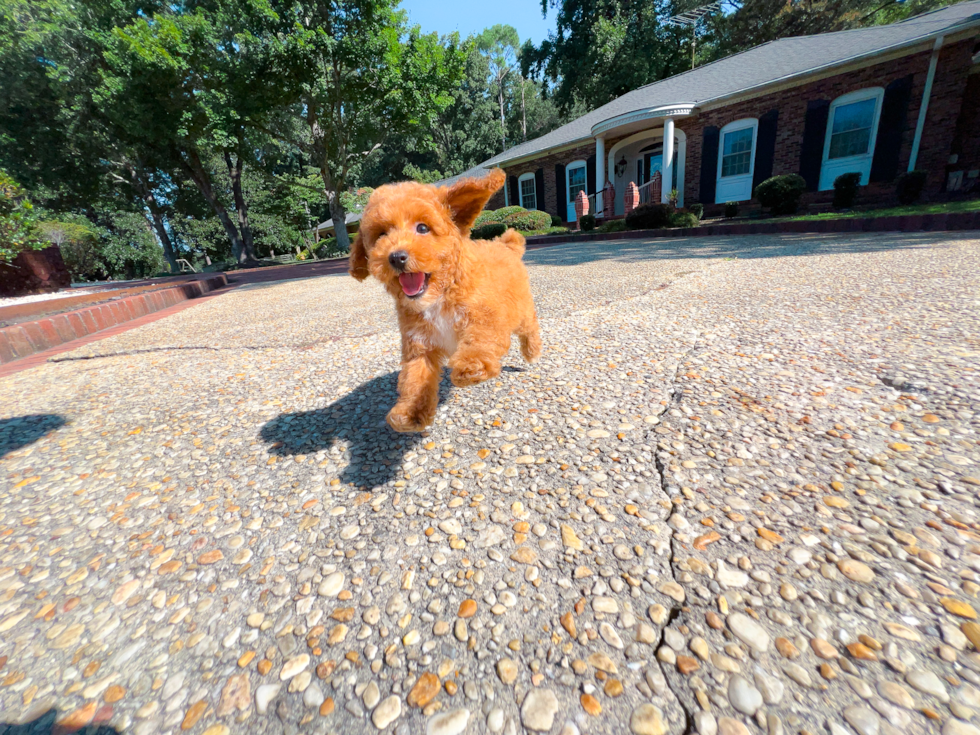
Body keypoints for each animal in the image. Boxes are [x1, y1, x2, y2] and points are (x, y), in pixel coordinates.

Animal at [348, 168, 540, 432]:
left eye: (422, 228)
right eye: (381, 234)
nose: (396, 257)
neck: (438, 296)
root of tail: (506, 245)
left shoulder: (485, 315)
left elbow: (481, 338)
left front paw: (472, 366)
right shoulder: (418, 342)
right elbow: (415, 377)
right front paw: (409, 412)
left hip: (520, 308)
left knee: (530, 325)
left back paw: (532, 351)